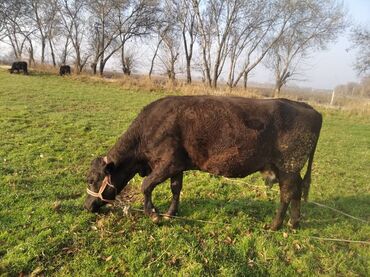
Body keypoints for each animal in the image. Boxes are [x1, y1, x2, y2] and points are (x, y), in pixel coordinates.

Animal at [85, 96, 322, 230]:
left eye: (91, 179)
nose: (86, 206)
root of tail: (309, 108)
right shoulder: (177, 165)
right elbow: (175, 188)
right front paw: (170, 213)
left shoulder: (167, 163)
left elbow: (146, 185)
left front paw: (153, 215)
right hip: (288, 169)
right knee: (296, 191)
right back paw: (293, 223)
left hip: (288, 166)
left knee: (287, 193)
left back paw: (275, 225)